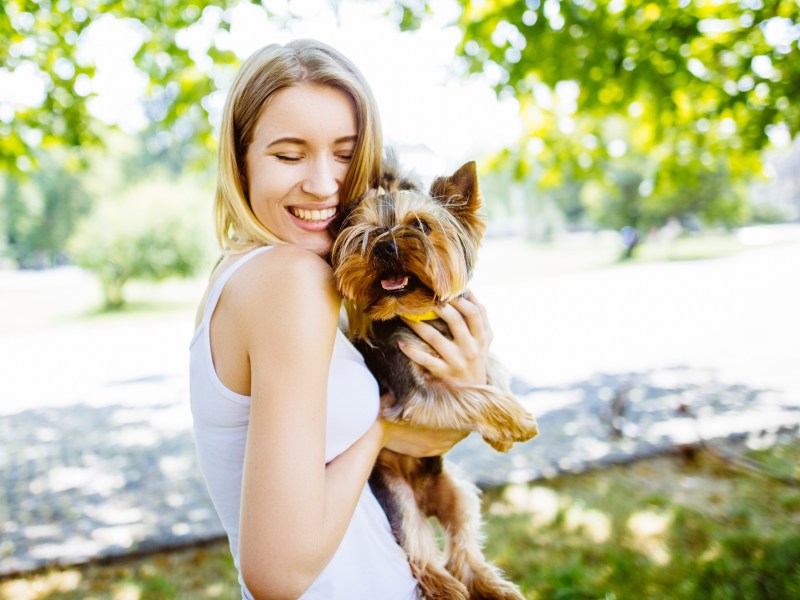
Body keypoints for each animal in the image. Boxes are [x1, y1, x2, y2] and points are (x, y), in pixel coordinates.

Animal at [328, 159, 540, 600]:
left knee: (462, 546)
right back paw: (446, 588)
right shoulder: (414, 396)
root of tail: (426, 499)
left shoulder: (480, 346)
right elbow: (471, 394)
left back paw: (492, 586)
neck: (422, 312)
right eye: (369, 233)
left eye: (421, 226)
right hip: (395, 495)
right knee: (419, 551)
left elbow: (493, 373)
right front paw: (517, 421)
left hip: (457, 490)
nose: (386, 246)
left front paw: (503, 431)